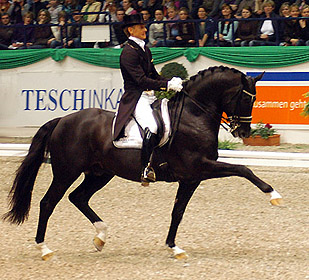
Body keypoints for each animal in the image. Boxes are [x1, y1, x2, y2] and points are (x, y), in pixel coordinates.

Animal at [3, 65, 282, 260]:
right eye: (246, 98)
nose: (243, 132)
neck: (194, 115)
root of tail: (62, 119)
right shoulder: (199, 166)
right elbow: (243, 168)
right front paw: (273, 195)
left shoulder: (191, 178)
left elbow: (178, 212)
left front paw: (174, 247)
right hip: (66, 171)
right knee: (48, 202)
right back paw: (45, 249)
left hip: (100, 173)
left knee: (78, 197)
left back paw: (101, 237)